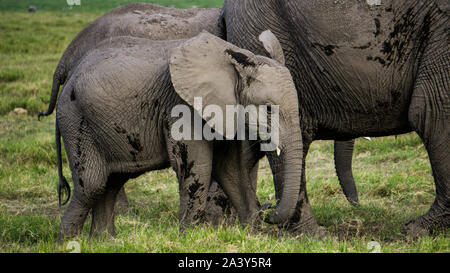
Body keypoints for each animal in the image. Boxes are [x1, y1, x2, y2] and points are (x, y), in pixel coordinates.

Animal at [56, 30, 302, 238]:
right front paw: (188, 236)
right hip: (75, 119)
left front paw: (253, 233)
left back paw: (105, 241)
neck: (234, 59)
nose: (268, 211)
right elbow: (199, 167)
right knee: (92, 185)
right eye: (268, 109)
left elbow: (230, 168)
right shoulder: (181, 105)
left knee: (112, 181)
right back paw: (67, 242)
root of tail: (68, 79)